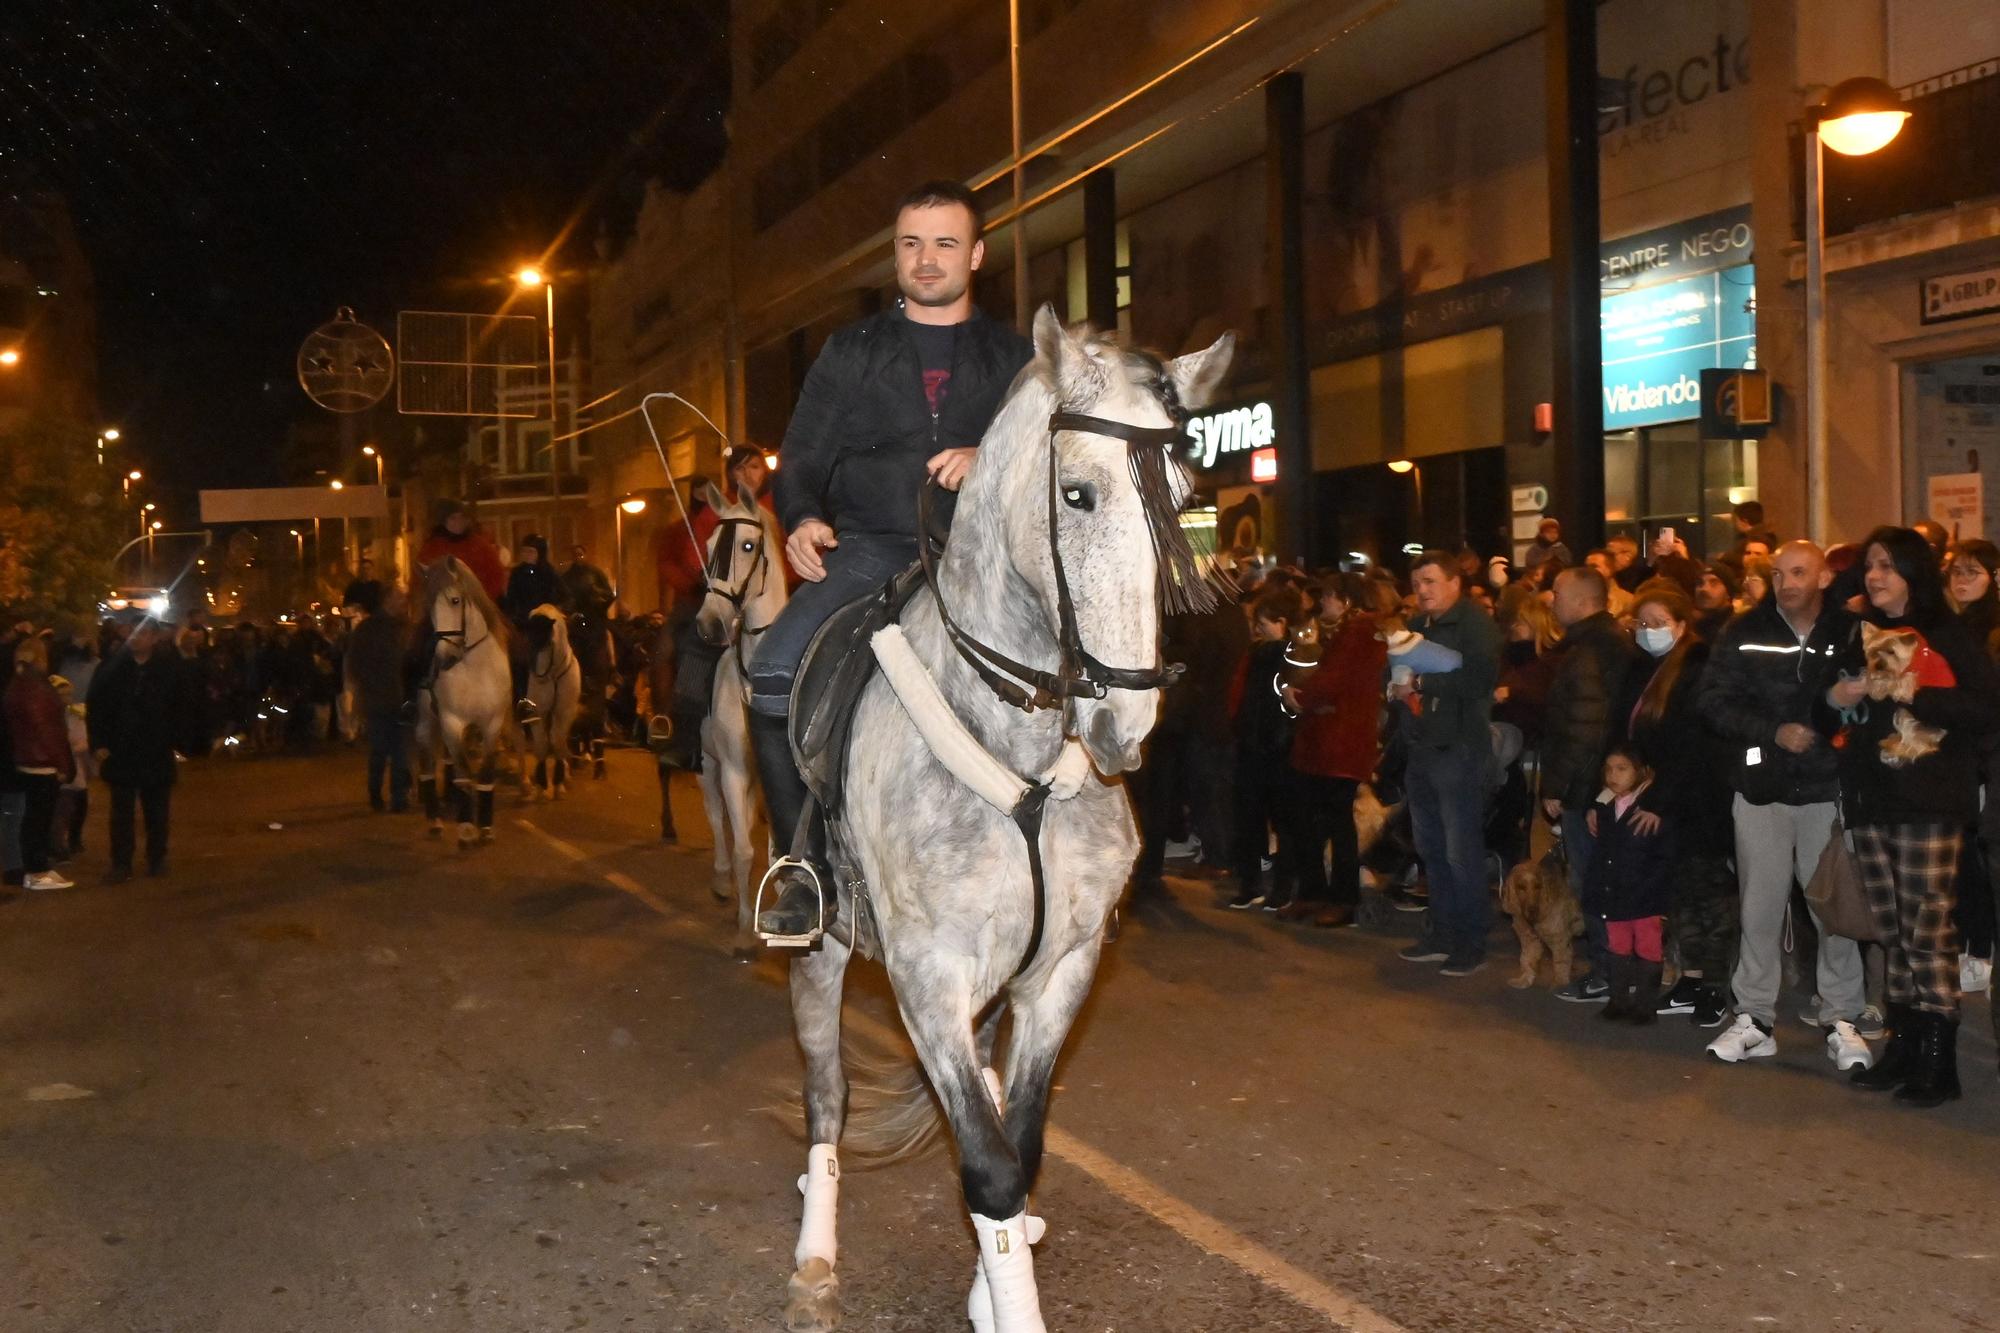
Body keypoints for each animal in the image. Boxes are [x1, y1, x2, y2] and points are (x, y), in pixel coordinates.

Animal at [416, 556, 516, 844]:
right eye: (429, 606)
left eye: (455, 600)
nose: (444, 659)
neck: (474, 667)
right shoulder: (452, 721)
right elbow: (463, 772)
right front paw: (466, 826)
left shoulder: (492, 724)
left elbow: (484, 772)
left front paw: (485, 826)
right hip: (426, 722)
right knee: (427, 766)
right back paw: (435, 821)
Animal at [520, 600, 584, 800]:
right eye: (529, 637)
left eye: (547, 640)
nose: (537, 675)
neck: (554, 674)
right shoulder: (538, 712)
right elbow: (542, 745)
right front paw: (541, 786)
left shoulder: (564, 712)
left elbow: (558, 742)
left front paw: (558, 784)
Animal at [776, 306, 1232, 1320]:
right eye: (1077, 493)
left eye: (1184, 496)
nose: (1127, 723)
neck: (1021, 766)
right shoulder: (927, 975)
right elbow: (987, 1164)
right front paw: (1006, 1297)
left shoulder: (1062, 966)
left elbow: (1017, 1143)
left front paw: (997, 1282)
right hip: (822, 949)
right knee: (827, 1094)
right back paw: (815, 1252)